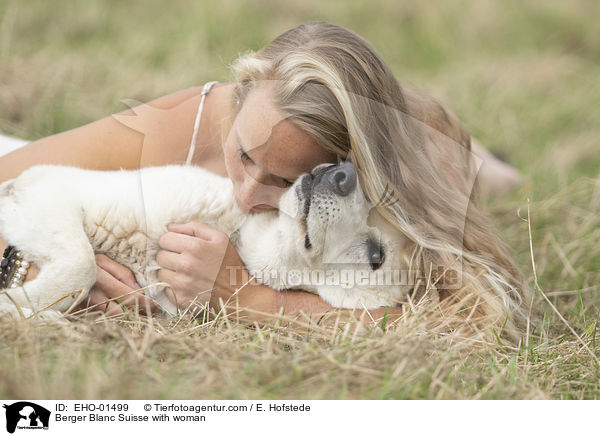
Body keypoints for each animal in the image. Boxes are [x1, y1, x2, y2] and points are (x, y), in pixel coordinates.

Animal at [0, 160, 412, 316]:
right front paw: (19, 306)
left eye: (376, 255)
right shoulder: (50, 184)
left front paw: (17, 307)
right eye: (371, 197)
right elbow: (82, 265)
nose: (344, 172)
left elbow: (81, 269)